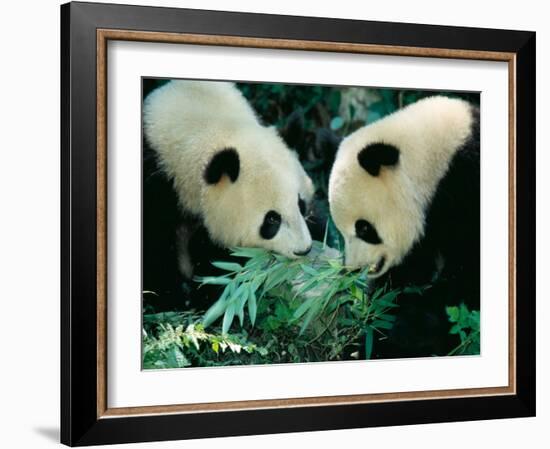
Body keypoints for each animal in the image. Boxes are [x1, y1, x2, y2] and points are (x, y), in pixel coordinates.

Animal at [143, 79, 314, 306]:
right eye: (271, 219)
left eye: (301, 204)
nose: (303, 249)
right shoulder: (157, 186)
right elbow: (156, 251)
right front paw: (179, 296)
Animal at [330, 96, 480, 358]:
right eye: (340, 231)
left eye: (363, 228)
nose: (354, 268)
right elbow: (406, 273)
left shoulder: (465, 190)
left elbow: (464, 278)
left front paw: (402, 338)